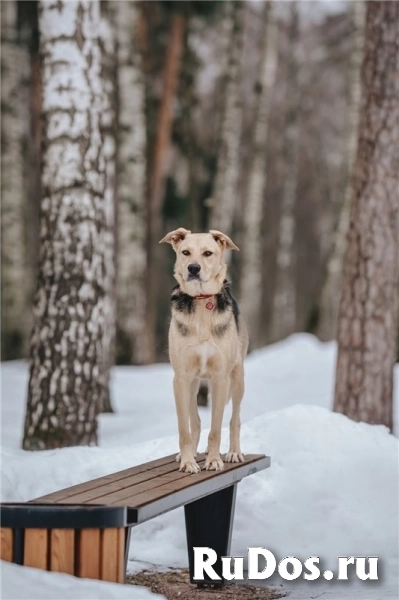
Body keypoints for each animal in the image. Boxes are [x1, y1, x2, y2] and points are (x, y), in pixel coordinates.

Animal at [160, 227, 248, 472]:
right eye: (185, 252)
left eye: (208, 253)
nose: (193, 268)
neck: (201, 301)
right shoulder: (181, 378)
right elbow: (185, 428)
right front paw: (188, 461)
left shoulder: (221, 378)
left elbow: (216, 428)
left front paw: (215, 460)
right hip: (193, 384)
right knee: (196, 422)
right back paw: (189, 453)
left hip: (237, 378)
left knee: (235, 419)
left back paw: (233, 452)